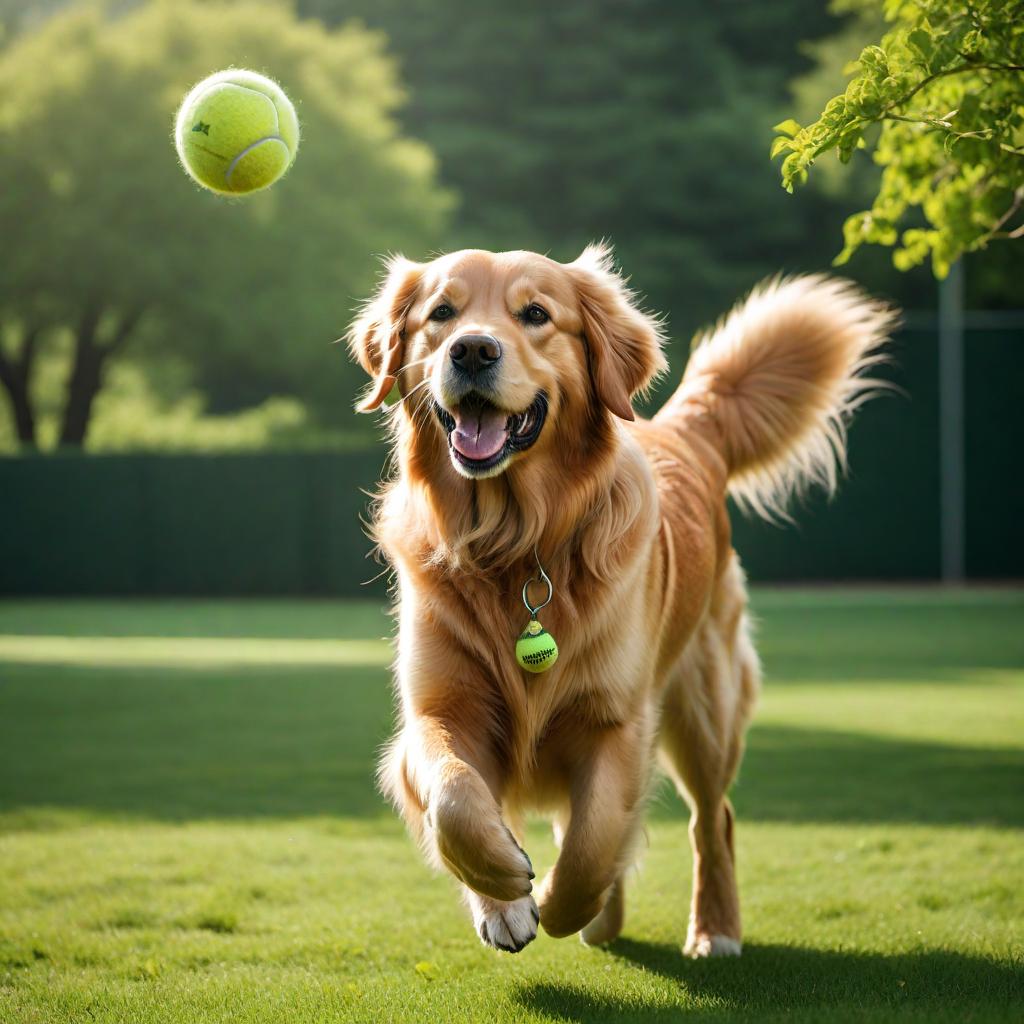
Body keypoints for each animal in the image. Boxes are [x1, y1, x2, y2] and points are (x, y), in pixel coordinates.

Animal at [348, 243, 892, 954]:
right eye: (441, 313)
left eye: (535, 314)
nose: (471, 350)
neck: (518, 545)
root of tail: (686, 431)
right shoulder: (440, 708)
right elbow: (456, 799)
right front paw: (502, 894)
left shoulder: (615, 718)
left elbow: (595, 837)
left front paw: (559, 901)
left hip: (705, 707)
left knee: (712, 820)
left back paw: (713, 929)